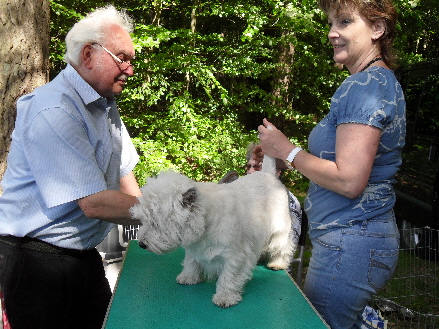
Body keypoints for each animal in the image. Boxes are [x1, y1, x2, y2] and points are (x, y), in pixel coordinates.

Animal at [132, 155, 294, 306]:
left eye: (155, 223)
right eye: (144, 220)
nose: (141, 244)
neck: (206, 223)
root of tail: (268, 173)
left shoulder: (236, 256)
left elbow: (229, 277)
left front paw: (224, 297)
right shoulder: (194, 249)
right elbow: (191, 263)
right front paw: (188, 277)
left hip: (279, 231)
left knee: (283, 247)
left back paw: (277, 263)